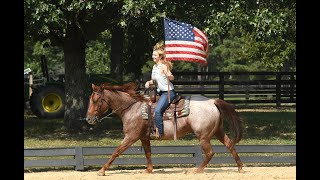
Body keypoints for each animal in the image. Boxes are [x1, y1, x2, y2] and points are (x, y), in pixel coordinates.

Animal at [86, 81, 244, 176]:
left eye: (95, 100)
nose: (88, 119)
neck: (132, 108)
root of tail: (212, 101)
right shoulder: (144, 137)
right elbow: (148, 153)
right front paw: (149, 170)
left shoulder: (131, 137)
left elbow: (116, 151)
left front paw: (102, 170)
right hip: (217, 131)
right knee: (229, 144)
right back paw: (240, 167)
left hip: (203, 136)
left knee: (210, 152)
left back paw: (196, 170)